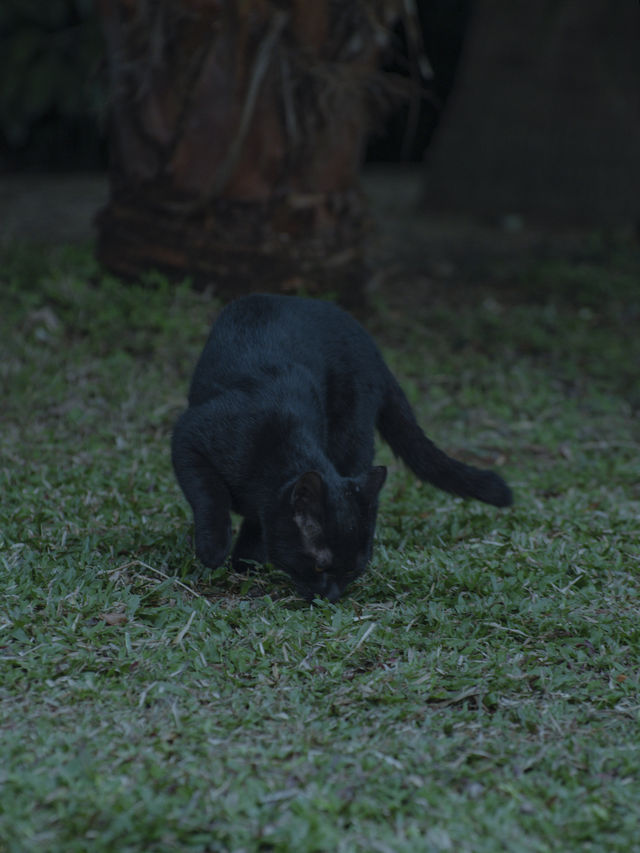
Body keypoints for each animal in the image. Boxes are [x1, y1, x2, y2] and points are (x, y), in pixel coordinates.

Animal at [170, 292, 510, 600]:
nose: (331, 596)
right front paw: (214, 551)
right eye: (320, 566)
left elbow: (258, 525)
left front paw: (246, 562)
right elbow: (210, 494)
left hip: (352, 439)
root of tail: (371, 346)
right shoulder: (189, 438)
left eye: (353, 570)